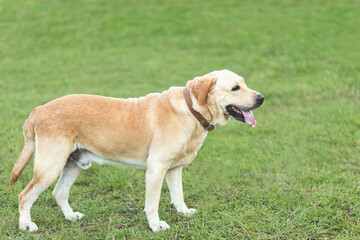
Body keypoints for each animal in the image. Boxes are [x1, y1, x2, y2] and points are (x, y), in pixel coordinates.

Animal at [9, 70, 264, 232]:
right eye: (235, 88)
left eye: (244, 83)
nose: (262, 97)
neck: (191, 111)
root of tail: (37, 110)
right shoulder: (156, 169)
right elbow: (153, 203)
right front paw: (156, 225)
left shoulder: (174, 169)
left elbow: (178, 195)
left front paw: (183, 212)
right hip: (50, 167)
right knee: (25, 195)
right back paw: (25, 225)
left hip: (72, 164)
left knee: (59, 193)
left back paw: (71, 217)